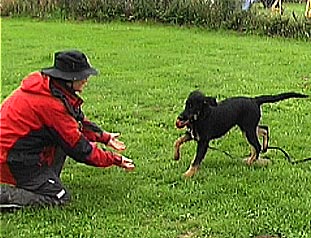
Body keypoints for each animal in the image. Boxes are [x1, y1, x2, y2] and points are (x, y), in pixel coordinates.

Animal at [174, 90, 308, 178]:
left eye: (192, 106)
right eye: (186, 104)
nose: (179, 118)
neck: (201, 116)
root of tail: (255, 100)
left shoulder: (203, 142)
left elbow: (196, 160)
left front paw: (187, 174)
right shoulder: (192, 135)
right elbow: (177, 141)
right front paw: (176, 156)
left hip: (248, 129)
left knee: (257, 145)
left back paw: (250, 162)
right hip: (248, 127)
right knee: (264, 130)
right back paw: (258, 153)